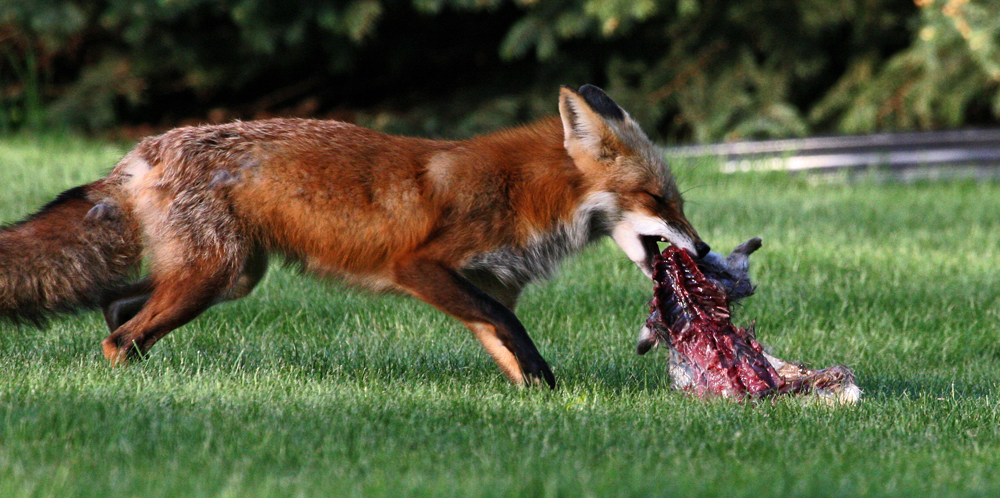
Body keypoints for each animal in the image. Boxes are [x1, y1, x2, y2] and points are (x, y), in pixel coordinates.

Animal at [0, 85, 708, 388]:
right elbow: (512, 331)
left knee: (117, 305)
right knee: (118, 337)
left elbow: (505, 343)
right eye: (658, 201)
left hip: (230, 275)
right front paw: (551, 387)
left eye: (677, 202)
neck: (526, 195)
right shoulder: (421, 267)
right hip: (213, 274)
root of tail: (142, 150)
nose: (701, 250)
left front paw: (545, 398)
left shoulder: (483, 287)